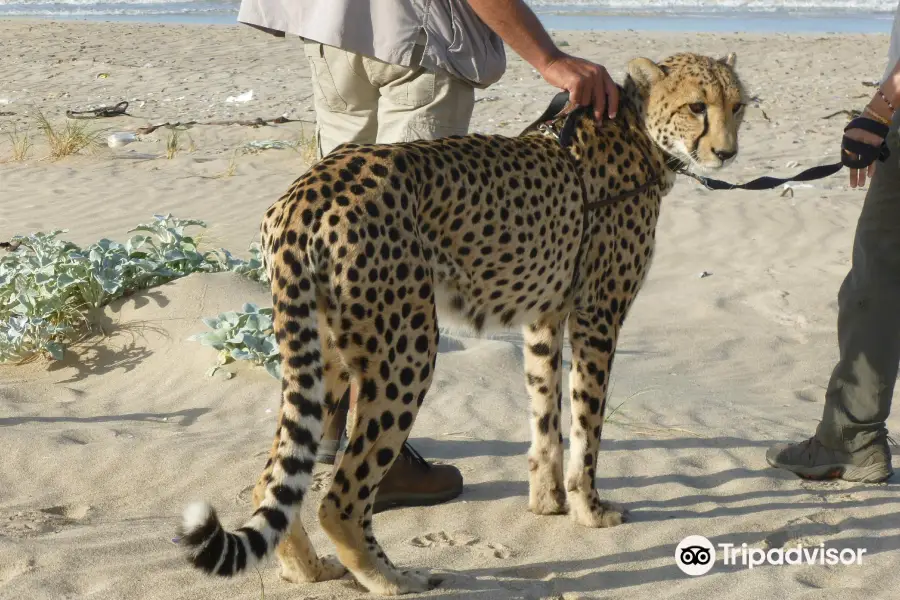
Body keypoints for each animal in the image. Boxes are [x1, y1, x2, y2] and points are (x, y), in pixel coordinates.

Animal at [176, 51, 744, 596]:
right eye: (697, 106)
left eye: (737, 106)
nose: (726, 153)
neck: (637, 129)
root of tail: (307, 189)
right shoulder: (597, 317)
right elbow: (588, 426)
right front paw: (590, 509)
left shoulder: (543, 318)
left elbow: (544, 417)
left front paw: (547, 502)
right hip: (407, 348)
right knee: (340, 499)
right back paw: (391, 579)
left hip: (325, 352)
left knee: (273, 478)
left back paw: (307, 569)